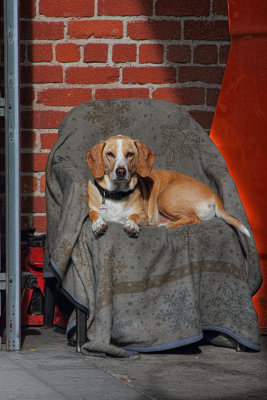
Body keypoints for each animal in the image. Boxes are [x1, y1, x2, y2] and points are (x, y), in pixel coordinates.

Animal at [86, 136, 251, 239]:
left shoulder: (143, 215)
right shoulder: (92, 210)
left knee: (193, 219)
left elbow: (133, 217)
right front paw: (98, 224)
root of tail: (215, 197)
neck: (117, 194)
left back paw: (162, 225)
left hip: (164, 196)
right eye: (110, 154)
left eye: (130, 154)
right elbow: (94, 215)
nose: (121, 171)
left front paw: (131, 225)